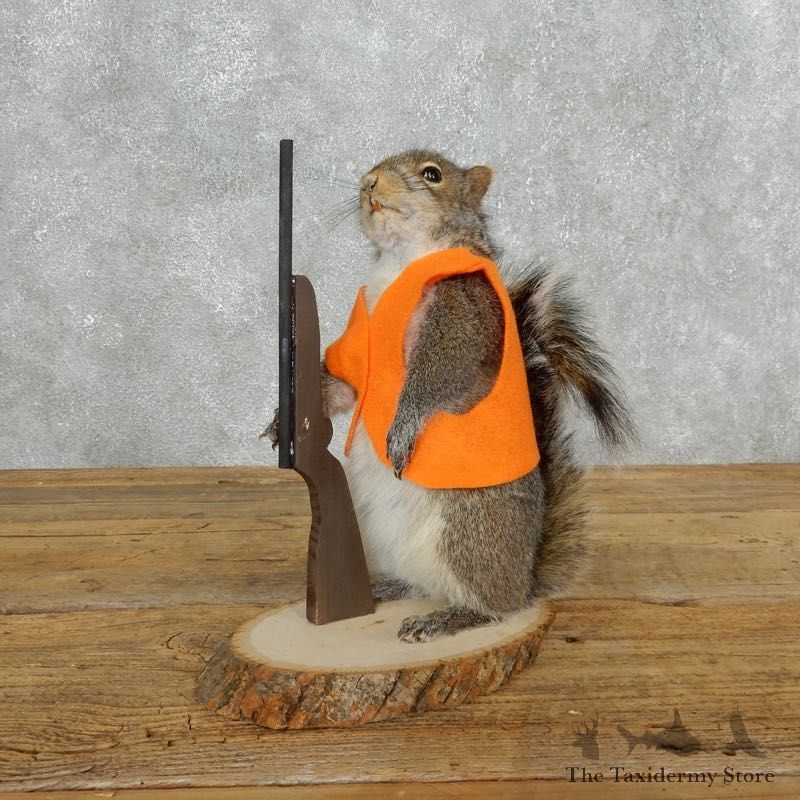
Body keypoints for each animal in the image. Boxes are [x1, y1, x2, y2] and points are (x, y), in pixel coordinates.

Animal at [267, 149, 635, 643]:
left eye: (431, 175)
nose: (369, 183)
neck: (401, 260)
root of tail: (524, 578)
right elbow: (346, 389)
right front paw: (283, 417)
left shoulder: (462, 318)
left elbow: (436, 381)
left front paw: (402, 429)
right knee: (423, 583)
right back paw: (387, 589)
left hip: (468, 531)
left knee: (494, 605)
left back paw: (449, 618)